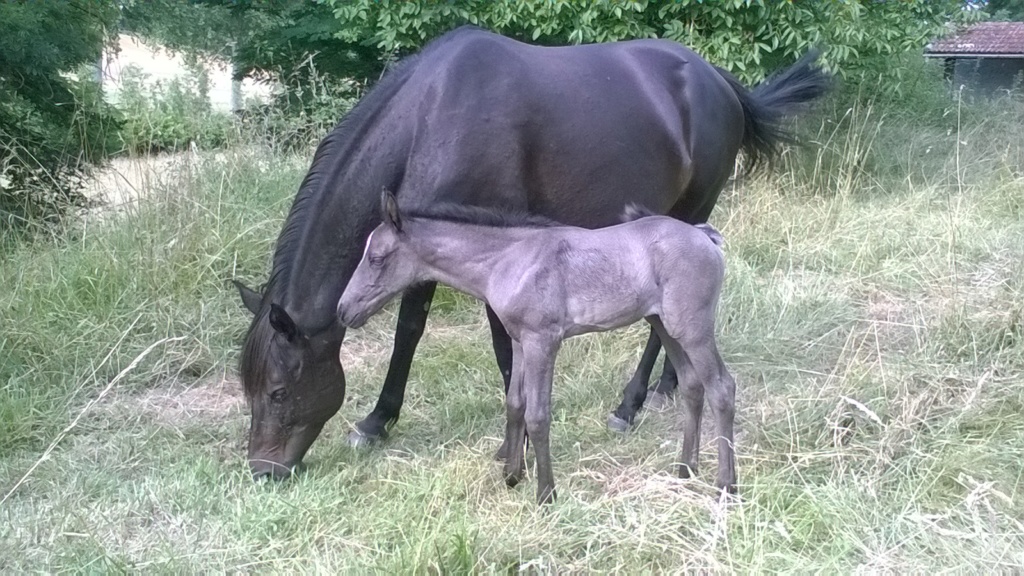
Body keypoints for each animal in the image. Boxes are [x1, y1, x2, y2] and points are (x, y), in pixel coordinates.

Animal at [337, 190, 737, 500]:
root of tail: (704, 236)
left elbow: (538, 415)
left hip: (693, 329)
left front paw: (545, 493)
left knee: (721, 387)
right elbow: (515, 404)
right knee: (692, 386)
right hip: (666, 326)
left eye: (376, 258)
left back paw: (726, 485)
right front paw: (512, 475)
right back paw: (686, 469)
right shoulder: (519, 341)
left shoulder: (542, 341)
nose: (343, 310)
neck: (509, 260)